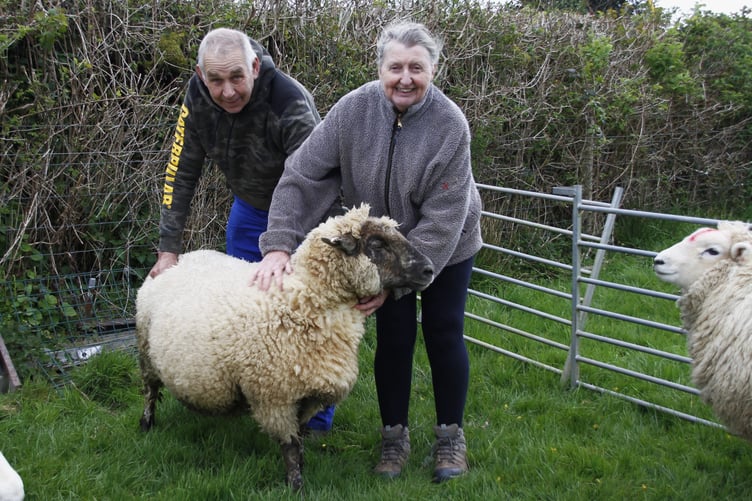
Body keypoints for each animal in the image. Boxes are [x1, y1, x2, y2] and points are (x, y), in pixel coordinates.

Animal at [135, 204, 434, 490]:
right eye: (377, 244)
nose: (429, 269)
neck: (303, 299)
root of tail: (179, 259)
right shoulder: (274, 397)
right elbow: (289, 445)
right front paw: (295, 485)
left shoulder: (307, 396)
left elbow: (299, 439)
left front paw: (302, 467)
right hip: (146, 351)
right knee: (150, 392)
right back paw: (146, 425)